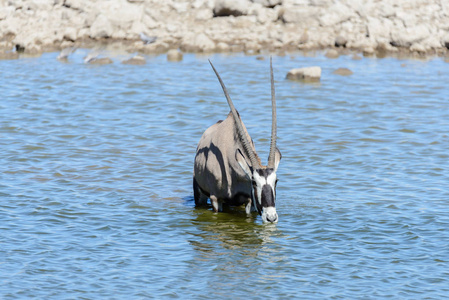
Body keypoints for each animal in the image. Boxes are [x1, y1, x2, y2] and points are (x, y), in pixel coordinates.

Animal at [192, 58, 280, 223]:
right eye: (254, 181)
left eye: (276, 181)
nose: (271, 217)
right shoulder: (215, 199)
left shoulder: (249, 201)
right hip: (199, 193)